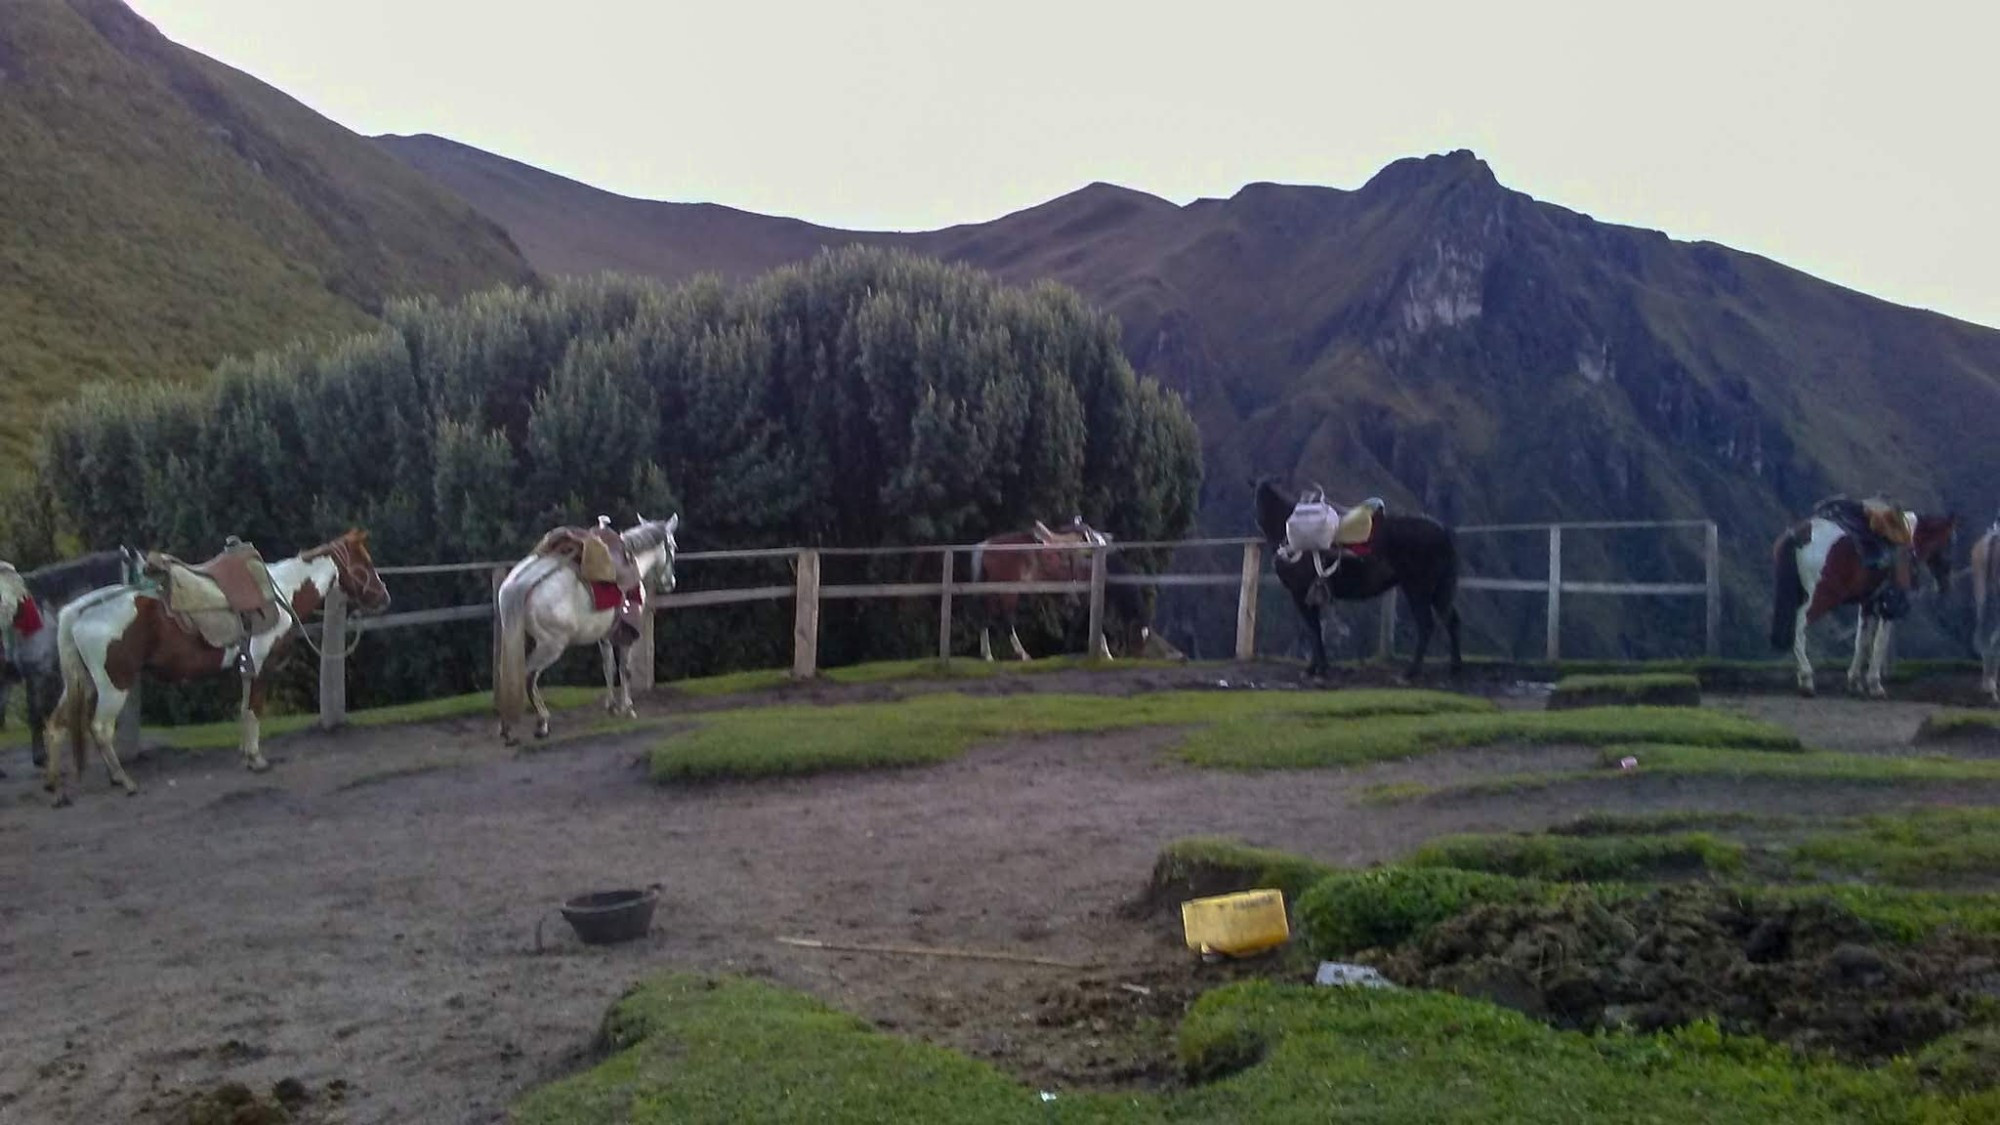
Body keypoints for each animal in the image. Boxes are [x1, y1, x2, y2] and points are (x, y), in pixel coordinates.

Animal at [492, 512, 680, 740]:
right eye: (673, 547)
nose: (671, 582)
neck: (633, 561)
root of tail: (517, 585)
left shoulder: (605, 635)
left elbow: (608, 667)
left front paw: (612, 707)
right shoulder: (626, 634)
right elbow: (625, 670)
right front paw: (628, 708)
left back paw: (508, 726)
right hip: (551, 646)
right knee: (528, 676)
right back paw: (541, 723)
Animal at [1248, 472, 1472, 672]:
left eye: (1264, 497)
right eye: (1256, 495)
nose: (1258, 520)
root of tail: (1443, 531)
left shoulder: (1299, 593)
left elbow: (1313, 628)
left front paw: (1317, 668)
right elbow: (1315, 629)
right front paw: (1318, 666)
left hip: (1418, 589)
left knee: (1426, 625)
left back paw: (1412, 672)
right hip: (1438, 590)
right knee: (1451, 620)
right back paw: (1455, 666)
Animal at [1768, 500, 1952, 692]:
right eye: (1950, 542)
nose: (1944, 583)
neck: (1908, 538)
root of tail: (1800, 535)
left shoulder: (1867, 603)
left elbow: (1861, 641)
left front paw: (1855, 681)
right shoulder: (1889, 605)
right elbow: (1879, 643)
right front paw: (1874, 684)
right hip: (1821, 597)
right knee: (1799, 627)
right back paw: (1807, 677)